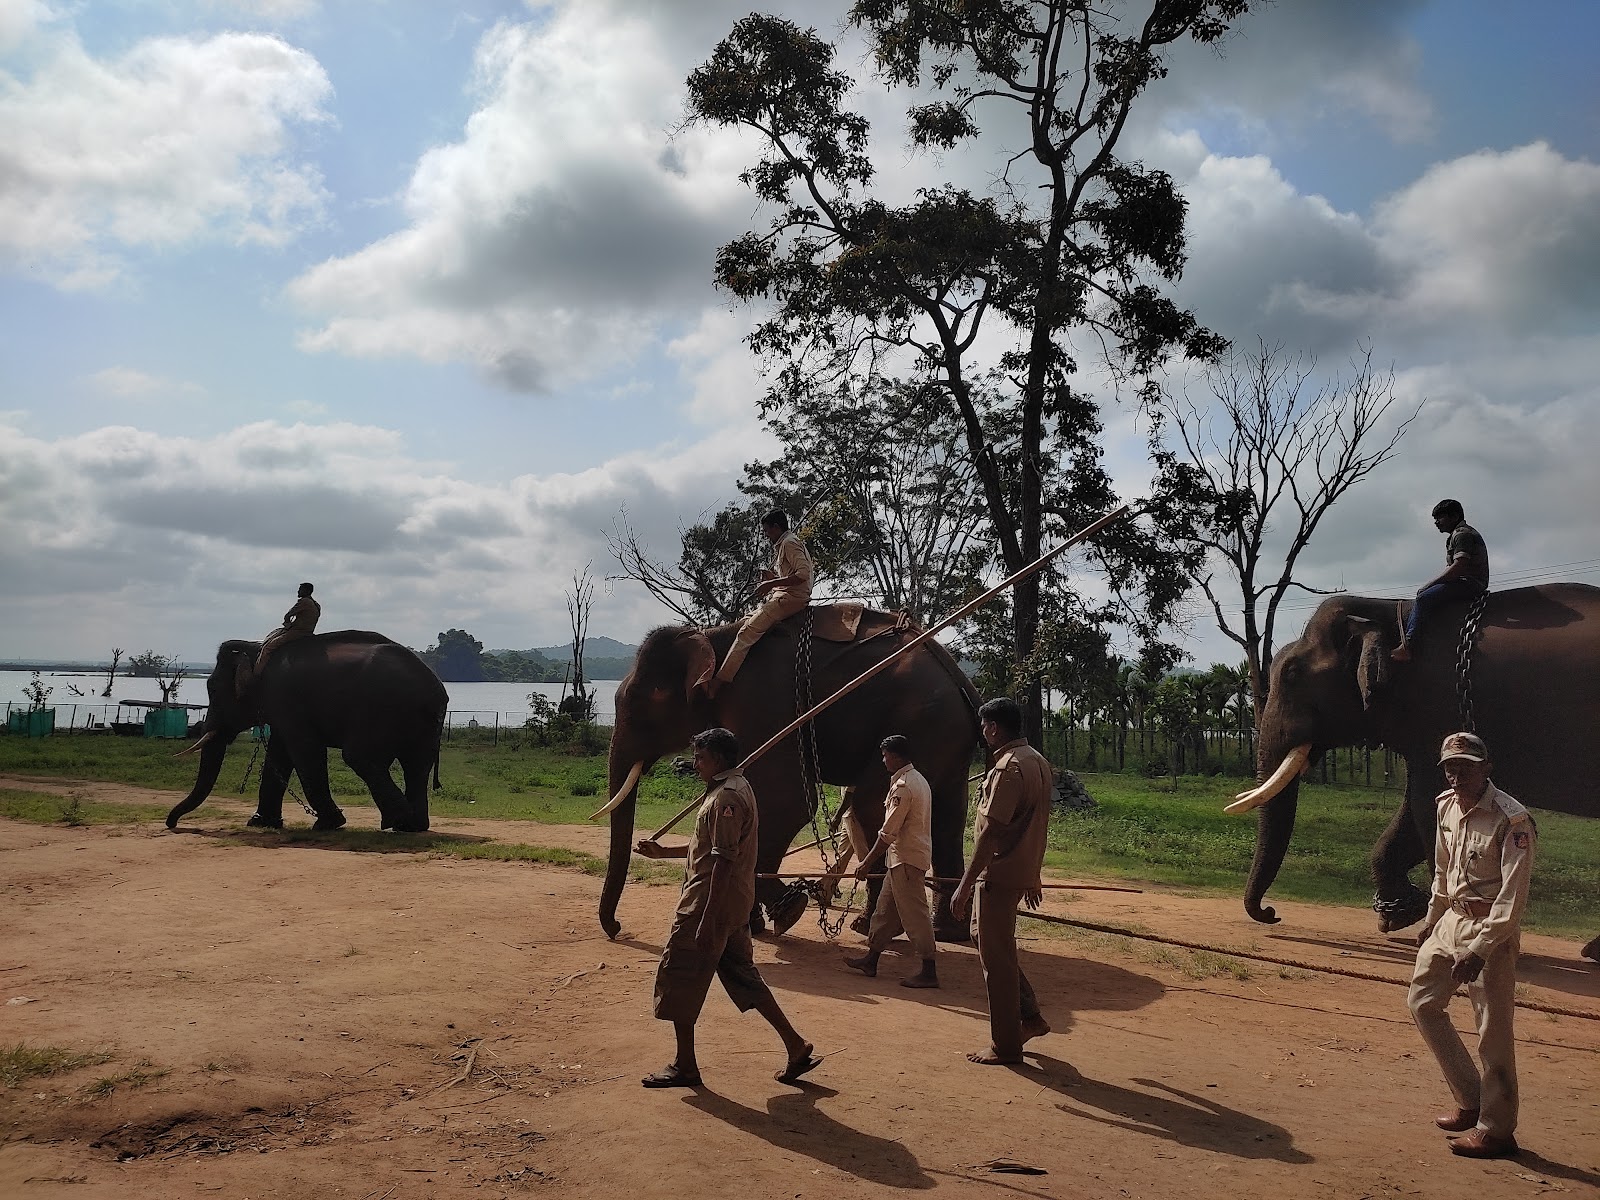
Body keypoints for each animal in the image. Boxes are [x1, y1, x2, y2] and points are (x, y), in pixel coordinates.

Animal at [164, 631, 448, 834]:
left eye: (213, 690)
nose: (173, 824)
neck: (257, 649)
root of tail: (435, 688)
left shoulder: (286, 699)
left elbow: (305, 750)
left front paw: (328, 823)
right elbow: (279, 753)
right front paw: (260, 823)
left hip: (380, 711)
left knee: (359, 757)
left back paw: (398, 822)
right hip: (421, 724)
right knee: (416, 765)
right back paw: (412, 825)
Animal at [597, 608, 981, 942]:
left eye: (644, 701)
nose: (617, 929)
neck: (716, 637)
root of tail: (961, 680)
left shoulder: (765, 700)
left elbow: (789, 798)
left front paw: (788, 909)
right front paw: (756, 921)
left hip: (920, 724)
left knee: (872, 805)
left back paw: (868, 926)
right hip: (944, 740)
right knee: (947, 814)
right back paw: (946, 932)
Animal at [1230, 583, 1600, 959]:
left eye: (1292, 675)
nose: (1272, 913)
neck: (1394, 609)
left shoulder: (1438, 713)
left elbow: (1428, 807)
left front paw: (1428, 922)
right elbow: (1415, 812)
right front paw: (1400, 915)